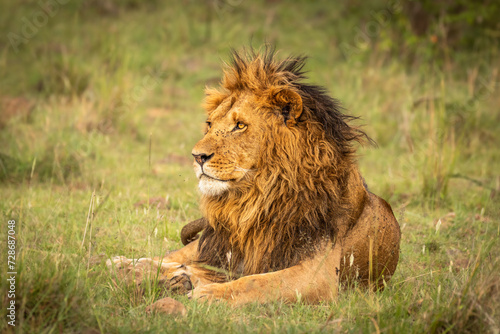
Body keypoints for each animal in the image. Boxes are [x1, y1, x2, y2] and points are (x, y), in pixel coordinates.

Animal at [107, 47, 400, 306]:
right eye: (210, 124)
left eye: (240, 125)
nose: (197, 156)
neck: (256, 198)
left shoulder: (319, 274)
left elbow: (257, 282)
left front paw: (211, 293)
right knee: (170, 256)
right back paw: (123, 264)